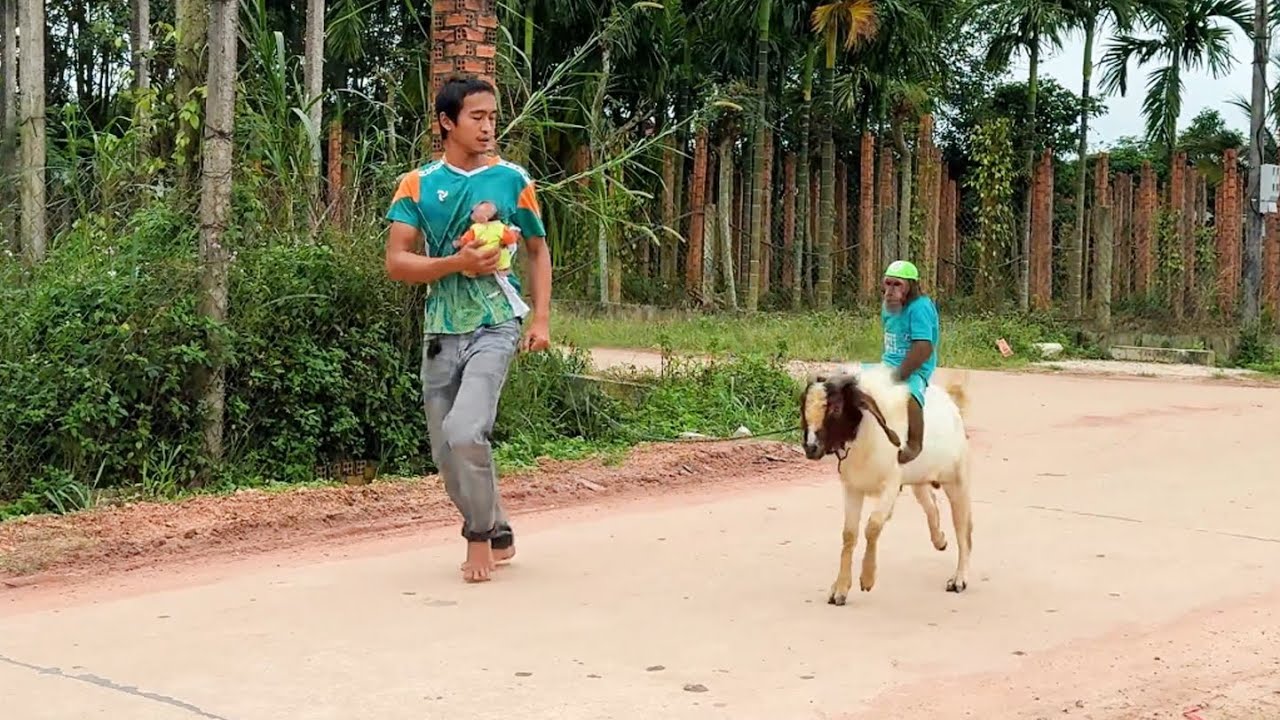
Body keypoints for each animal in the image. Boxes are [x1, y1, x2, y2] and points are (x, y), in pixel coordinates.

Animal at [799, 363, 973, 605]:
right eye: (803, 407)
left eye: (835, 408)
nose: (811, 448)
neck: (865, 435)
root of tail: (952, 404)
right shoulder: (852, 488)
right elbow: (849, 534)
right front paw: (840, 589)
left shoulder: (890, 484)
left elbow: (873, 526)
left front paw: (867, 579)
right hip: (919, 479)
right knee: (930, 504)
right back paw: (939, 540)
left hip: (957, 481)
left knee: (963, 529)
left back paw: (959, 579)